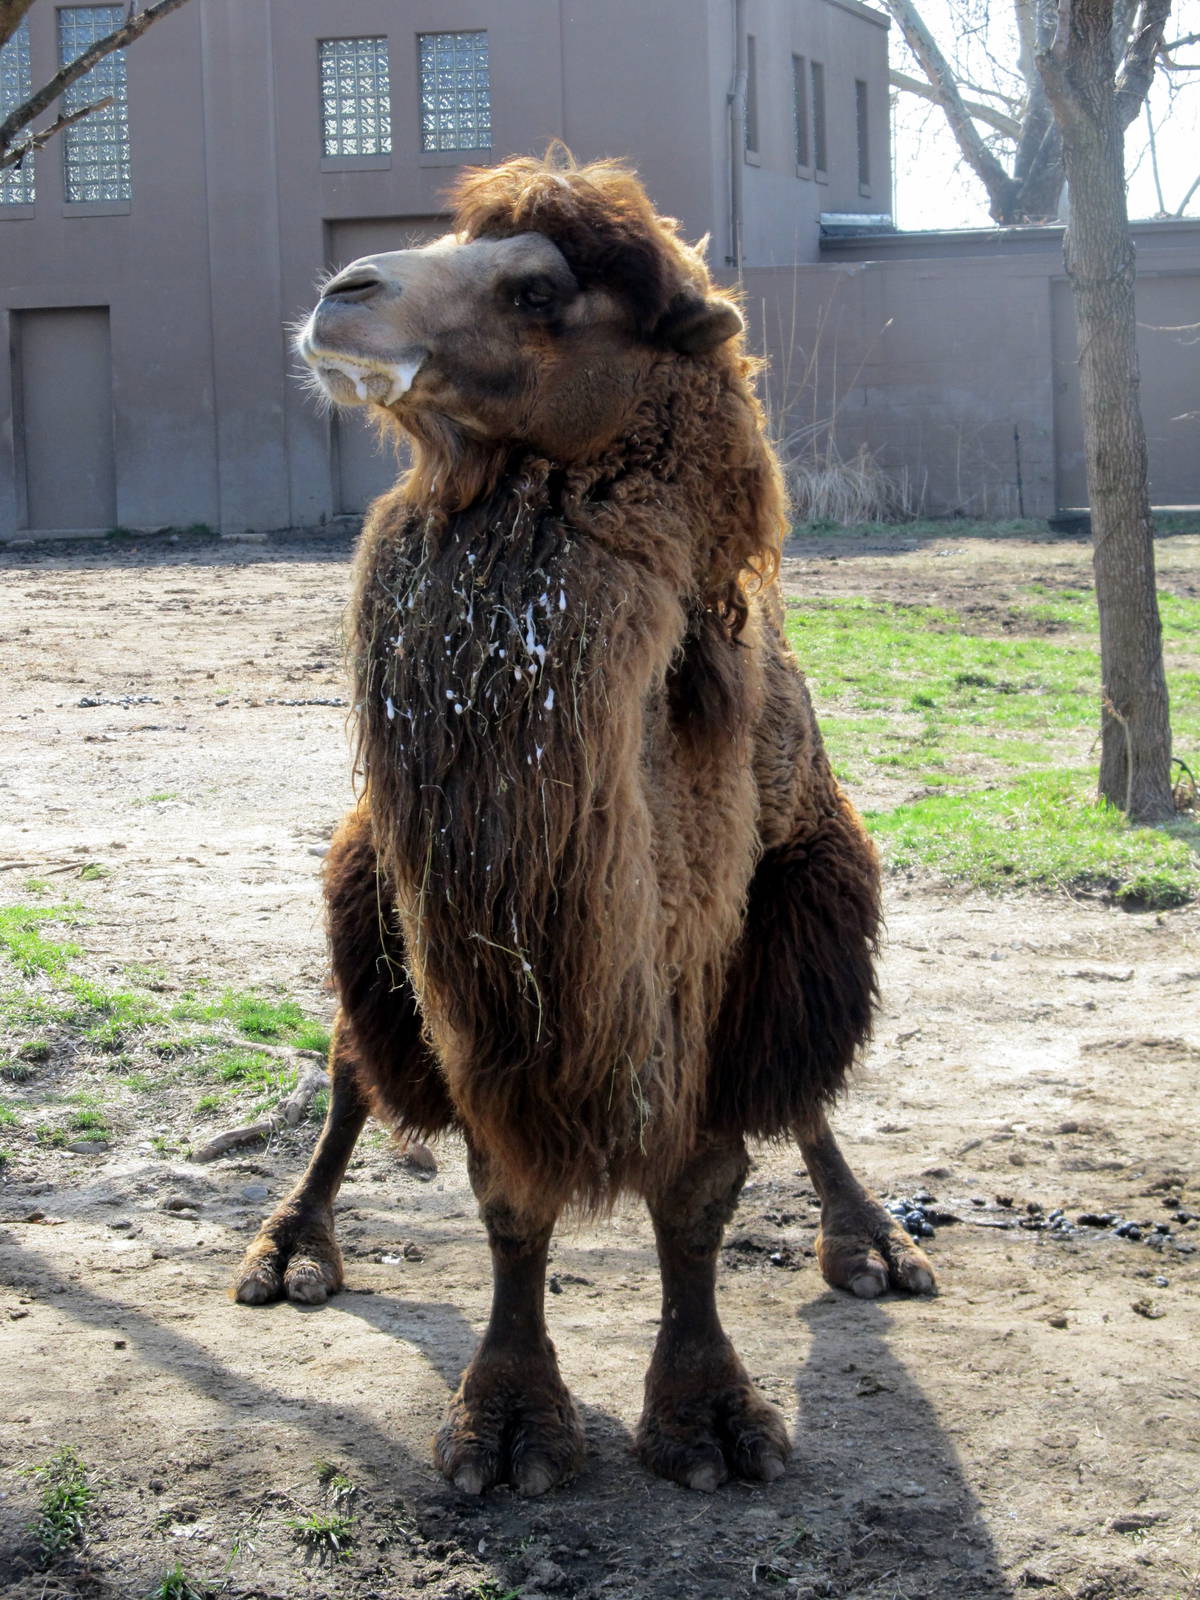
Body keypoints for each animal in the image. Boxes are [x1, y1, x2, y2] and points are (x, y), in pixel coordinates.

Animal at [233, 153, 935, 1496]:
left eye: (536, 288)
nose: (342, 296)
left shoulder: (734, 932)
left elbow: (703, 1185)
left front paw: (712, 1418)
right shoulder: (472, 969)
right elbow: (510, 1193)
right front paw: (506, 1423)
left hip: (805, 908)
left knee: (804, 1086)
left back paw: (874, 1243)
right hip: (368, 899)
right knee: (350, 1064)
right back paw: (289, 1248)